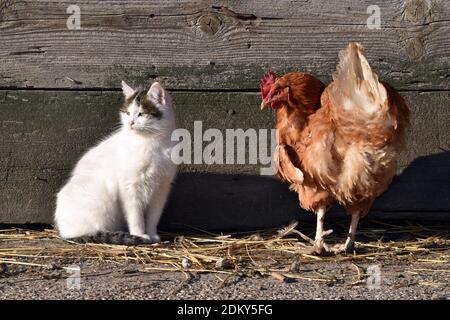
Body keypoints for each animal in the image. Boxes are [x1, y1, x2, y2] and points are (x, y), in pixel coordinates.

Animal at [53, 81, 177, 244]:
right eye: (128, 113)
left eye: (141, 114)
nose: (130, 123)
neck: (150, 143)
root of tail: (62, 231)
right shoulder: (129, 187)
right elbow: (135, 216)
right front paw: (140, 235)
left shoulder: (161, 189)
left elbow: (153, 217)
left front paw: (152, 235)